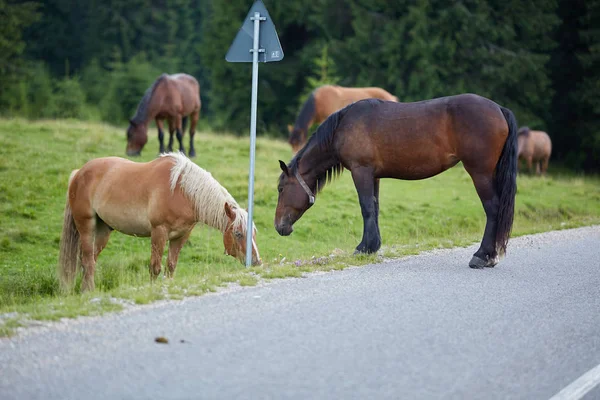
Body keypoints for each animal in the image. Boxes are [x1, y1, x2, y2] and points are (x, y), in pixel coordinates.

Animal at [58, 152, 260, 292]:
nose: (256, 262)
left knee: (90, 259)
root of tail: (79, 173)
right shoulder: (159, 232)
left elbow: (171, 266)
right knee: (87, 260)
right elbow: (155, 268)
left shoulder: (180, 237)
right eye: (238, 233)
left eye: (254, 233)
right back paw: (89, 291)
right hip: (86, 226)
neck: (182, 192)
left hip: (103, 231)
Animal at [274, 94, 516, 268]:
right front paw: (372, 246)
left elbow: (366, 208)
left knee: (493, 209)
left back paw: (482, 256)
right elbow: (375, 208)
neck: (343, 127)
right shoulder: (374, 176)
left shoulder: (361, 171)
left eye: (281, 188)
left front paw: (363, 248)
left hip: (480, 173)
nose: (279, 226)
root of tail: (499, 109)